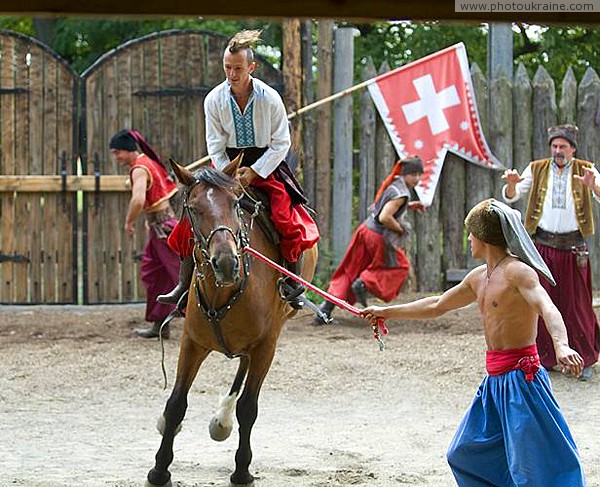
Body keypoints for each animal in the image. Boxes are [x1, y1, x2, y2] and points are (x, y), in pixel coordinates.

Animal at [145, 157, 318, 487]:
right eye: (194, 209)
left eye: (235, 204)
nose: (226, 262)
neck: (224, 290)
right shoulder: (192, 343)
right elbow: (176, 404)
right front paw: (159, 470)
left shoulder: (266, 345)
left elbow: (248, 409)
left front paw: (242, 471)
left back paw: (223, 419)